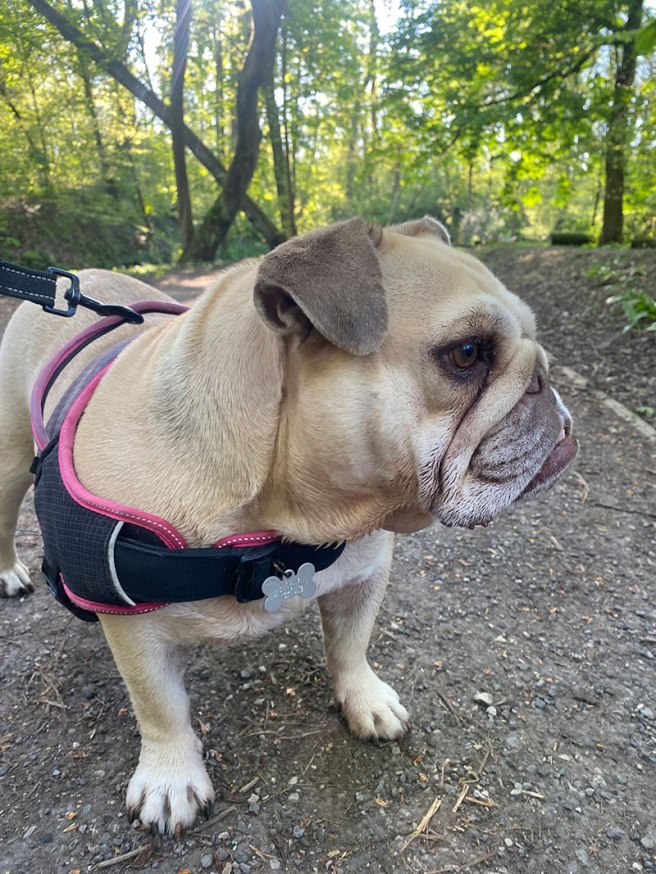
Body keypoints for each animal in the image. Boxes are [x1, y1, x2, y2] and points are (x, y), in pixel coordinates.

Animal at [0, 217, 577, 834]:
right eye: (467, 353)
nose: (543, 378)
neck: (279, 524)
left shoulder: (365, 572)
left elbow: (352, 645)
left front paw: (365, 700)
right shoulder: (134, 631)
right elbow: (159, 705)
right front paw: (170, 776)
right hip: (9, 460)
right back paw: (11, 573)